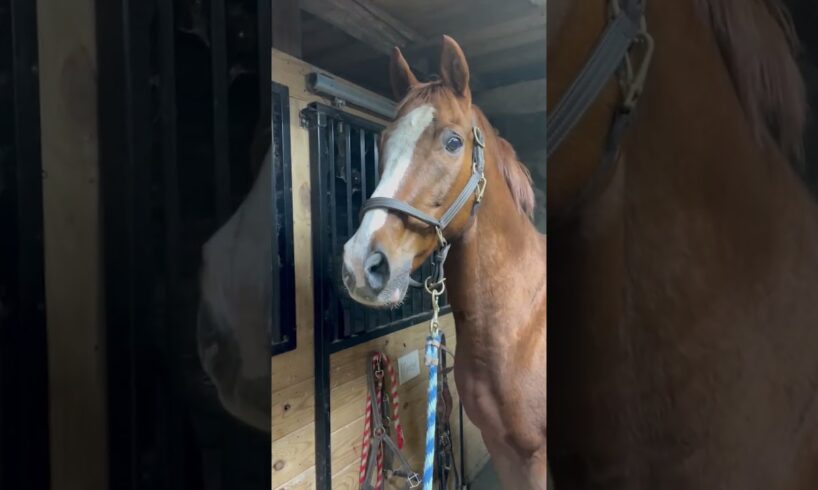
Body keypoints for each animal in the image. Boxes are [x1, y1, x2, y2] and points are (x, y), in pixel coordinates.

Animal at [340, 38, 548, 490]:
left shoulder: (538, 457)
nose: (361, 264)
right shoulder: (503, 449)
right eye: (383, 140)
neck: (523, 325)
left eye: (453, 142)